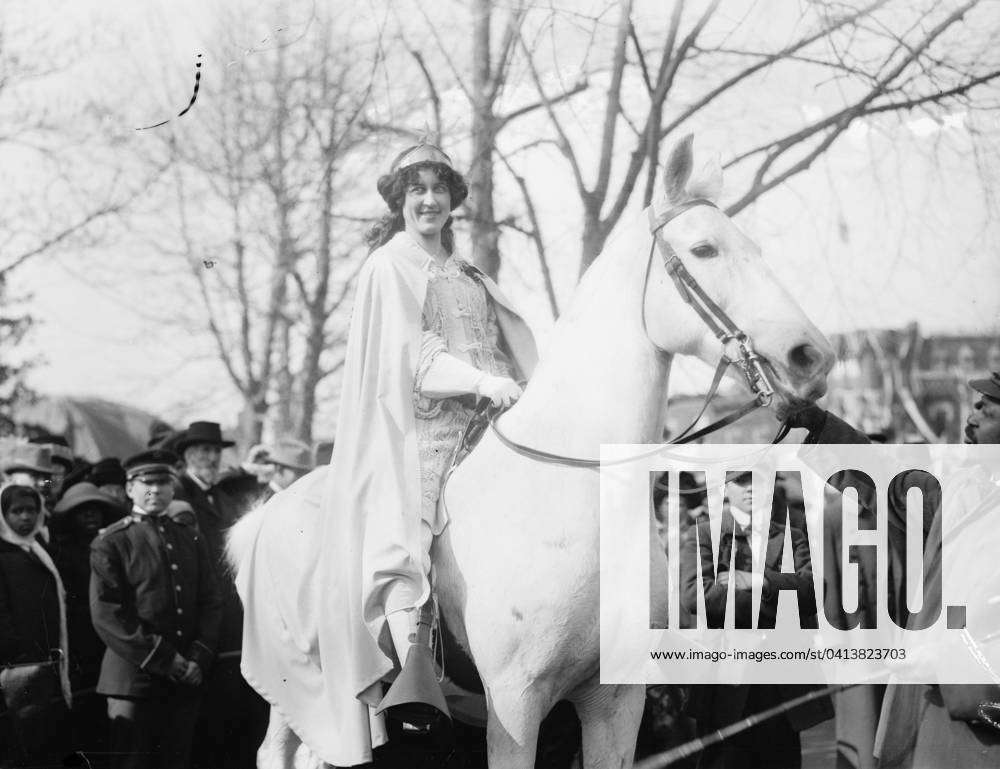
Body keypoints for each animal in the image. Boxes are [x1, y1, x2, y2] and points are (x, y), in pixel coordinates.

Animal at [230, 135, 832, 764]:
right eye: (704, 249)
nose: (811, 356)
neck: (570, 495)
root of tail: (268, 512)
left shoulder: (616, 702)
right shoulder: (514, 705)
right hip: (302, 694)